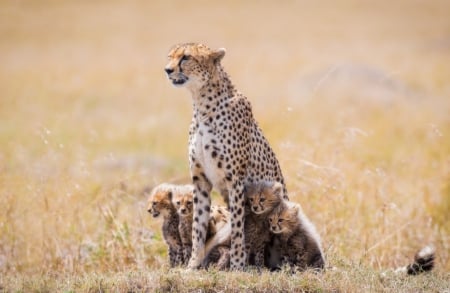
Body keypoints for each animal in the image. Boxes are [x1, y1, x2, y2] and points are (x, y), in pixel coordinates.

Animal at [165, 42, 288, 270]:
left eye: (186, 57)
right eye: (170, 56)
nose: (167, 70)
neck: (202, 106)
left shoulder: (235, 182)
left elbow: (239, 230)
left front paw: (238, 266)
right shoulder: (200, 180)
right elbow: (198, 227)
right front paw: (193, 265)